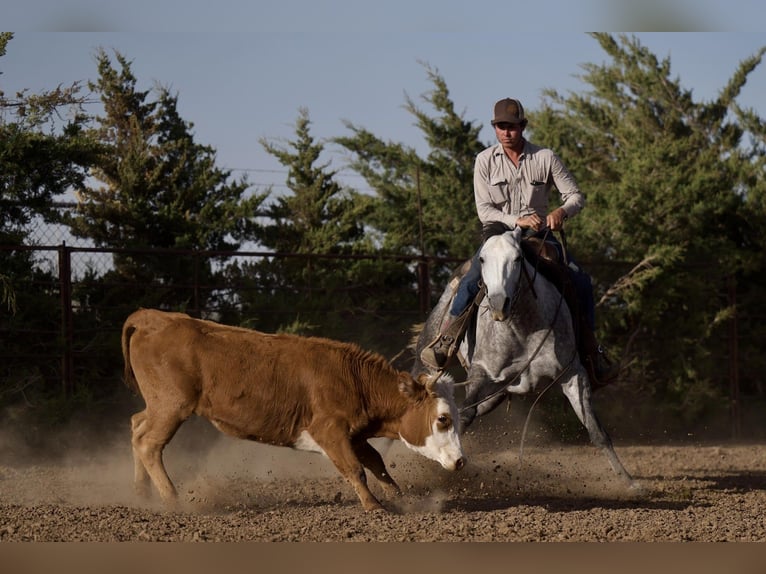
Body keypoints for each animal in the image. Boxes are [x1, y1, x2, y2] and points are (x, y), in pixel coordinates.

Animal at [416, 223, 640, 488]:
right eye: (482, 259)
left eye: (517, 258)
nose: (498, 304)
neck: (521, 327)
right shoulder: (481, 372)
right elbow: (464, 415)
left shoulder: (573, 373)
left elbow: (596, 431)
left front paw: (628, 482)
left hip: (498, 392)